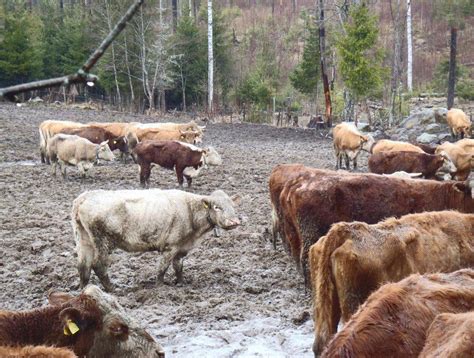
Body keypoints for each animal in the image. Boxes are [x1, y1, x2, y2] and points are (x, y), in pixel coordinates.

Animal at [73, 189, 241, 290]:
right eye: (217, 207)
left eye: (233, 206)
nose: (234, 222)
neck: (189, 211)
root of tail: (85, 196)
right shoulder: (170, 247)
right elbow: (162, 268)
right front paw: (160, 287)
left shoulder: (181, 247)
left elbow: (178, 267)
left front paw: (181, 283)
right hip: (102, 242)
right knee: (98, 265)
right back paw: (112, 289)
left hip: (84, 240)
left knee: (83, 266)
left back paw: (84, 289)